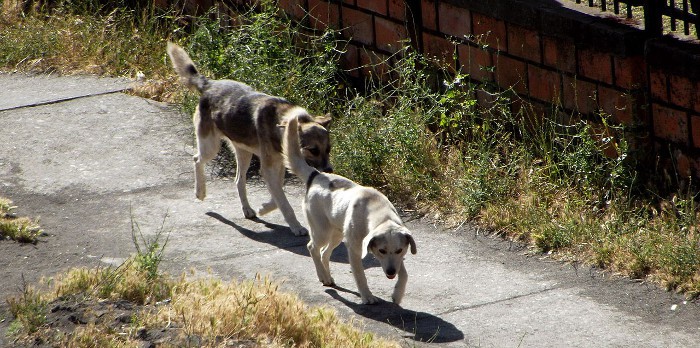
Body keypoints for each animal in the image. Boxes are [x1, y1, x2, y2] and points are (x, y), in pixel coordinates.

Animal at [169, 42, 334, 235]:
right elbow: (284, 203)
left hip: (244, 153)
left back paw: (247, 209)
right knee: (197, 160)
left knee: (239, 180)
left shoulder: (278, 166)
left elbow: (278, 196)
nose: (329, 171)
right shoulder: (269, 168)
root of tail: (209, 84)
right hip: (210, 146)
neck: (281, 122)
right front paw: (296, 226)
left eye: (328, 149)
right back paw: (200, 191)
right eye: (313, 150)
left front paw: (264, 208)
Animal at [284, 115, 416, 304]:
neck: (378, 212)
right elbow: (360, 276)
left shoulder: (397, 258)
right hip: (322, 232)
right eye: (381, 251)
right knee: (313, 248)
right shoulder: (354, 250)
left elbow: (404, 274)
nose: (391, 272)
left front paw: (397, 294)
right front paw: (367, 296)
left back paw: (327, 277)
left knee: (324, 253)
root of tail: (316, 175)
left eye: (399, 250)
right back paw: (322, 275)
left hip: (337, 234)